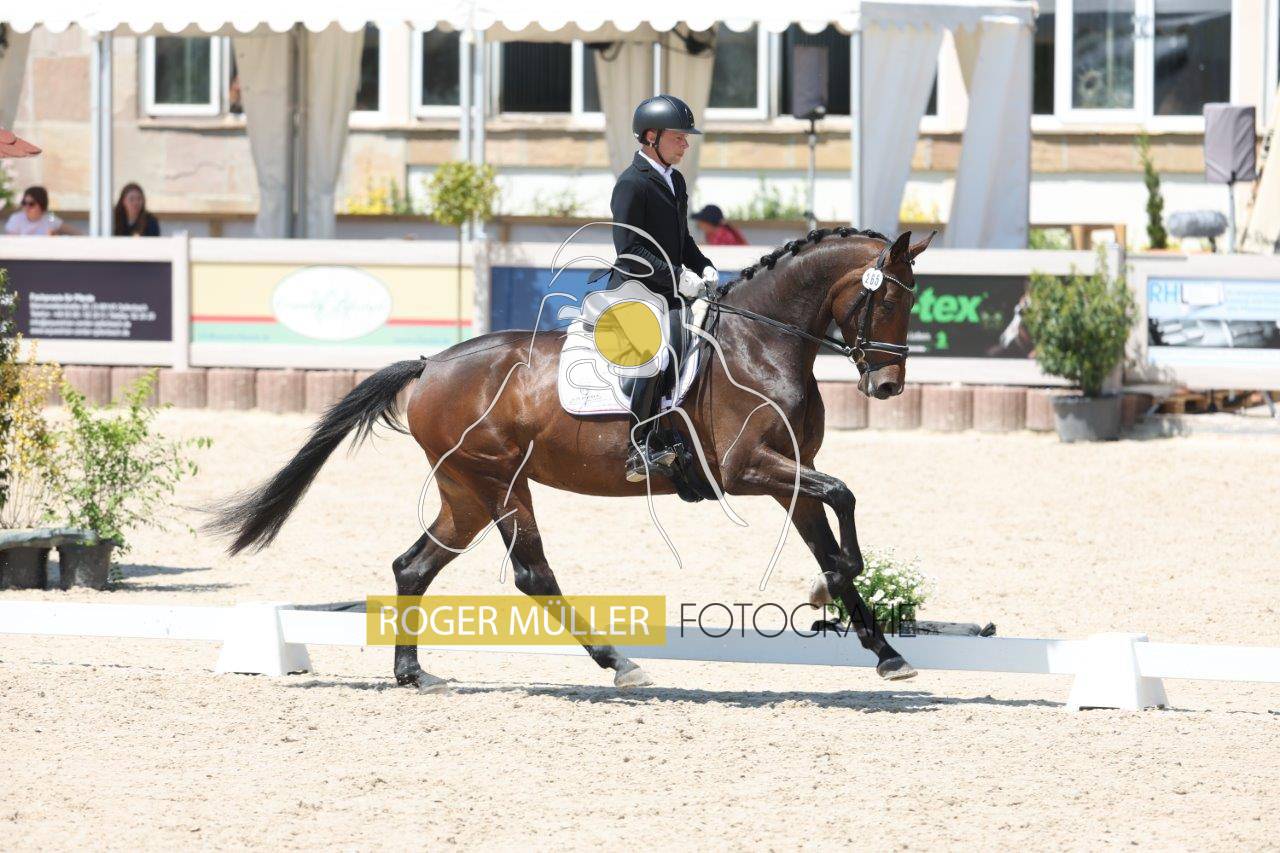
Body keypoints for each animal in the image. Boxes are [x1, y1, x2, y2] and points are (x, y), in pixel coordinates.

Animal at [209, 226, 935, 690]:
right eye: (887, 298)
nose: (888, 387)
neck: (761, 342)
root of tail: (430, 364)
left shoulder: (788, 477)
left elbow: (833, 543)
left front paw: (884, 650)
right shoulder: (746, 470)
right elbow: (844, 496)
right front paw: (838, 591)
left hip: (468, 493)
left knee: (413, 565)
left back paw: (413, 673)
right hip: (496, 483)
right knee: (533, 574)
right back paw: (619, 664)